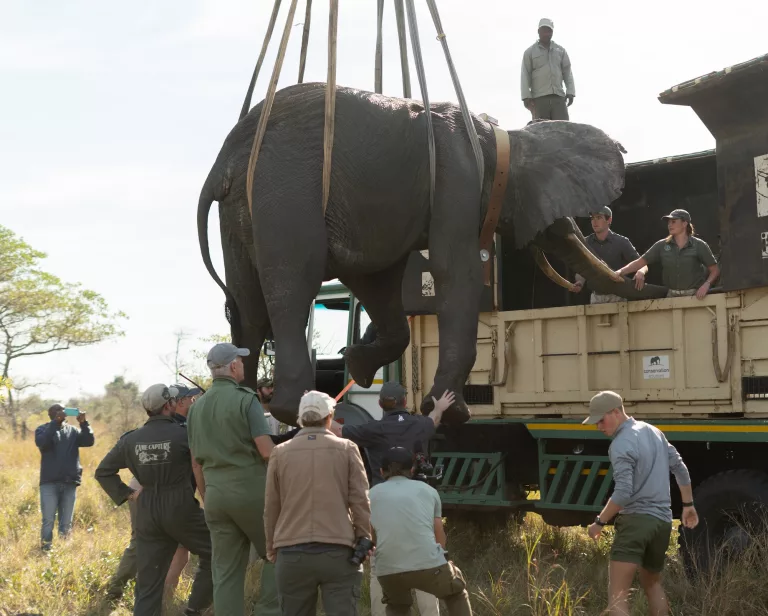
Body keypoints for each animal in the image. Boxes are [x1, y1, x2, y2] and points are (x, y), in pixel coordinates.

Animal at [198, 82, 664, 426]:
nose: (654, 284)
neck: (500, 137)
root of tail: (223, 159)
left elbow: (377, 278)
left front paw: (360, 365)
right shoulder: (458, 178)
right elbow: (454, 271)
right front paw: (449, 412)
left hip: (241, 206)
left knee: (247, 305)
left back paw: (249, 399)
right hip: (285, 191)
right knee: (292, 284)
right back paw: (292, 407)